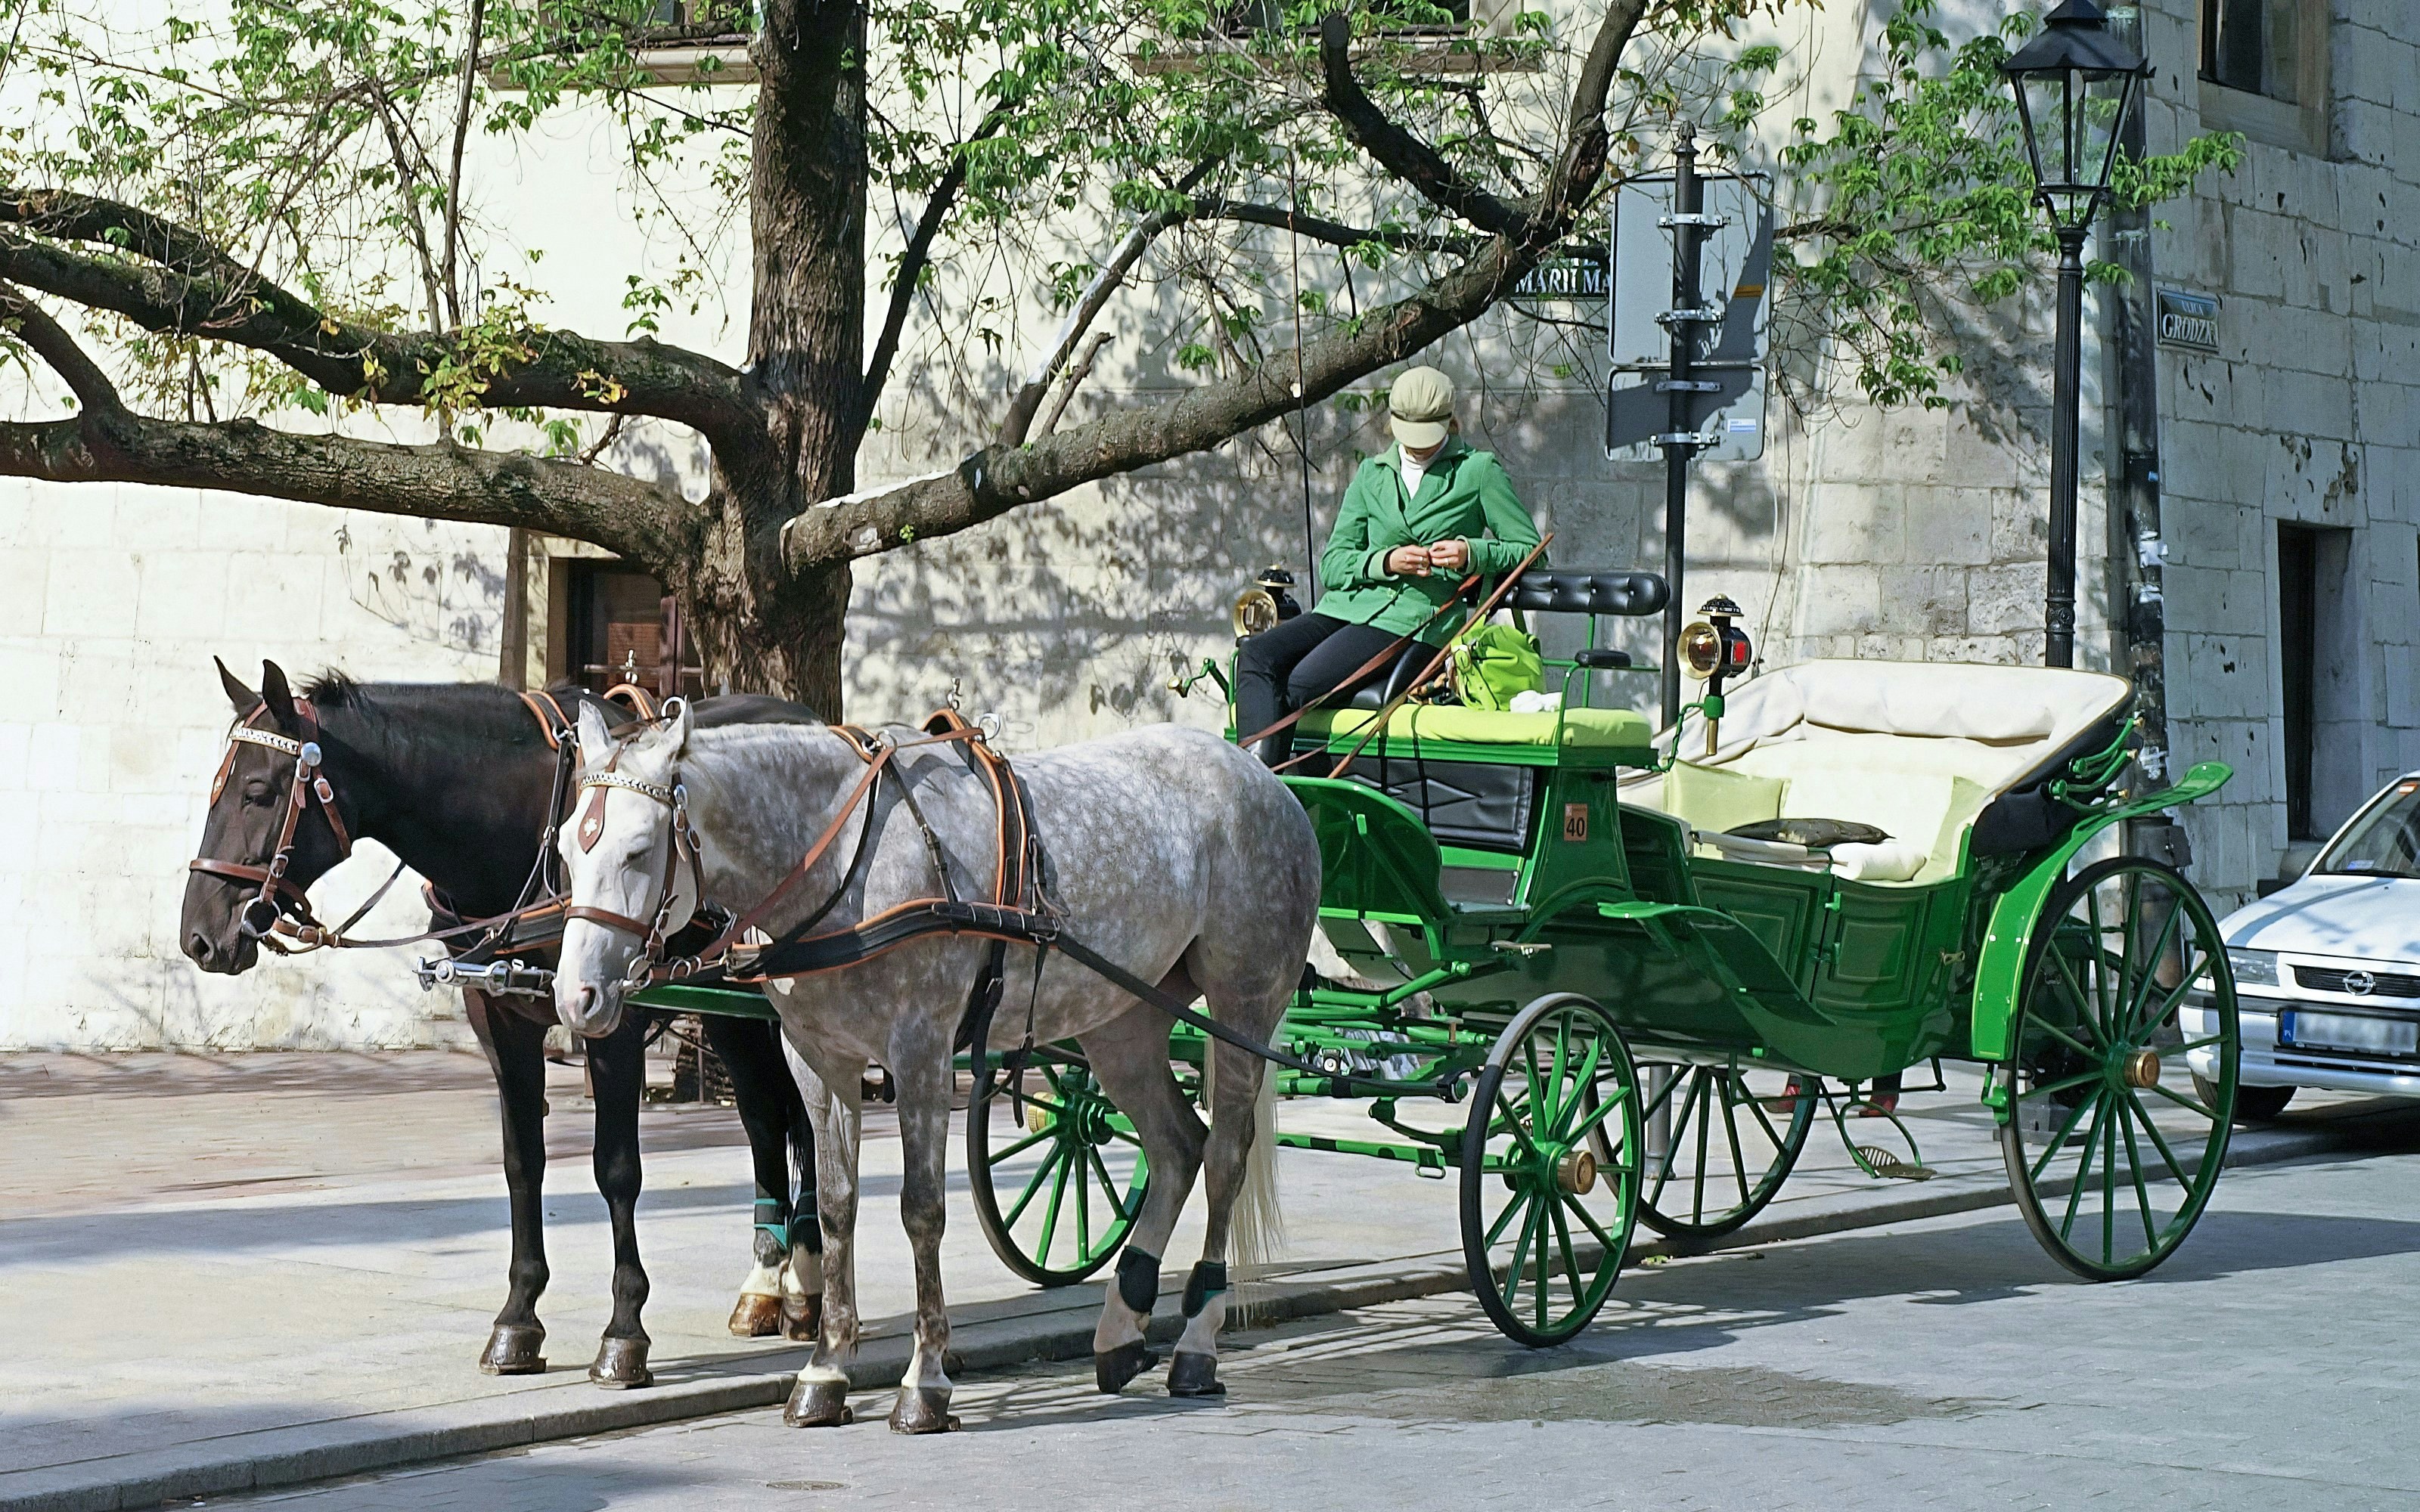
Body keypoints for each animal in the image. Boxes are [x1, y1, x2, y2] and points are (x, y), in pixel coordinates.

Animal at [180, 659, 825, 1387]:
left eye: (259, 792)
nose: (200, 936)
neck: (520, 828)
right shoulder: (499, 1017)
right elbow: (524, 1163)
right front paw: (519, 1318)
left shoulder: (612, 1021)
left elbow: (616, 1169)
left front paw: (624, 1331)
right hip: (730, 1013)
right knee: (765, 1120)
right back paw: (766, 1288)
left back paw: (803, 1282)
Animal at [550, 700, 1319, 1430]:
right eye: (565, 850)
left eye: (638, 851)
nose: (575, 996)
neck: (841, 861)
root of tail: (1264, 778)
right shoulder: (818, 1058)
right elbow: (835, 1207)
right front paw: (826, 1371)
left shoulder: (921, 1050)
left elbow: (922, 1209)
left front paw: (925, 1383)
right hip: (1123, 1019)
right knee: (1176, 1147)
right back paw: (1124, 1327)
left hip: (1242, 1006)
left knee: (1223, 1158)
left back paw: (1196, 1343)